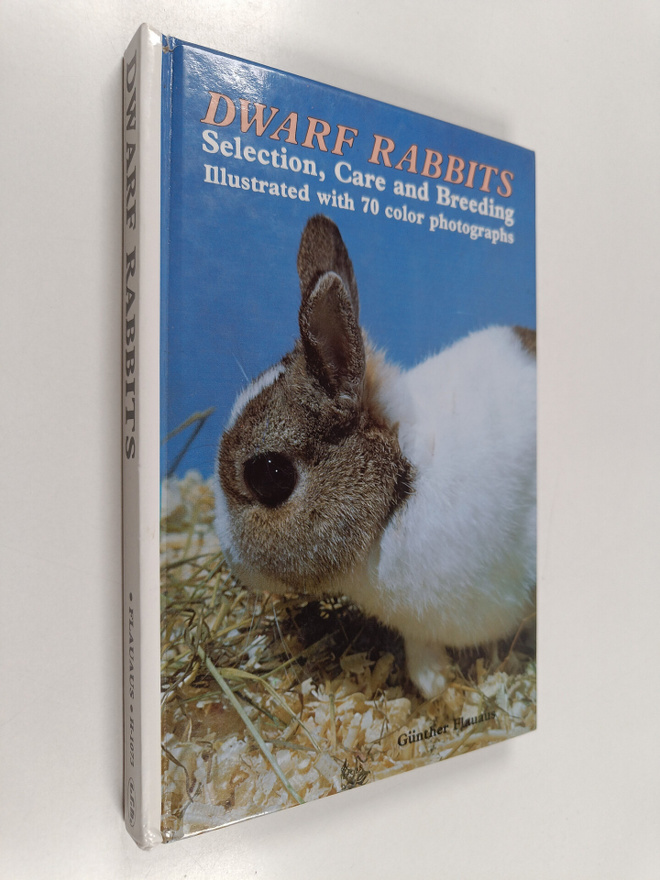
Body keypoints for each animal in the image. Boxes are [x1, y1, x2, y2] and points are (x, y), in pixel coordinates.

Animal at [215, 214, 536, 698]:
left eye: (269, 475)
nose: (229, 559)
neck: (398, 489)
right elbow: (421, 653)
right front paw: (433, 685)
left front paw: (440, 690)